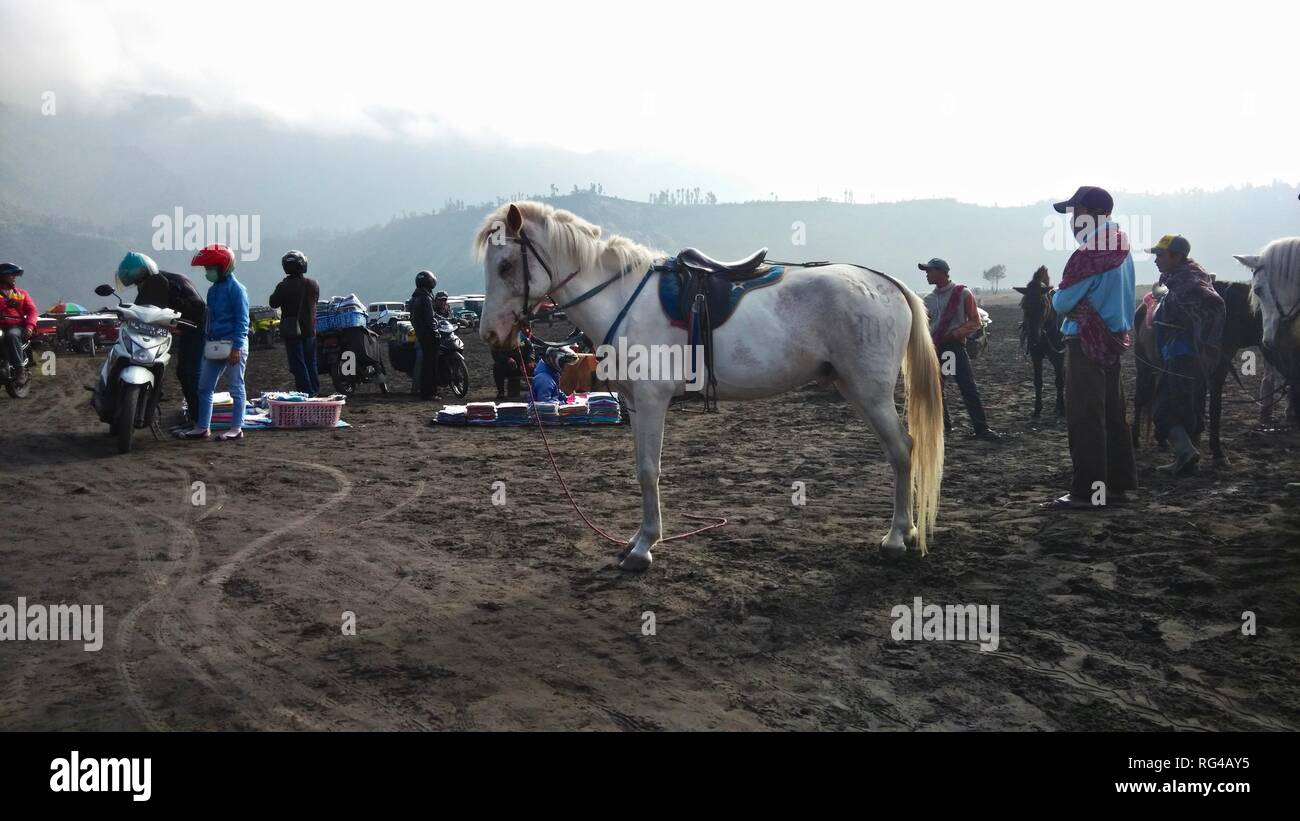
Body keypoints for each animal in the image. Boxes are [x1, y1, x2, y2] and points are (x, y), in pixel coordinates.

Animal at [473, 203, 941, 571]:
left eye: (505, 265)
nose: (490, 334)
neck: (623, 298)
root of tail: (887, 284)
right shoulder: (635, 404)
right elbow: (641, 468)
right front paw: (637, 539)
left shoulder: (652, 400)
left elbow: (649, 471)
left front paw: (644, 548)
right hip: (854, 389)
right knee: (900, 450)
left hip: (871, 392)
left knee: (902, 451)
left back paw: (897, 537)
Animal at [1013, 268, 1066, 420]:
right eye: (1024, 306)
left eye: (1044, 305)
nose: (1034, 337)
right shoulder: (1036, 355)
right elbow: (1038, 381)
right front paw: (1037, 409)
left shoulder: (1059, 356)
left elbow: (1059, 381)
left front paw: (1062, 409)